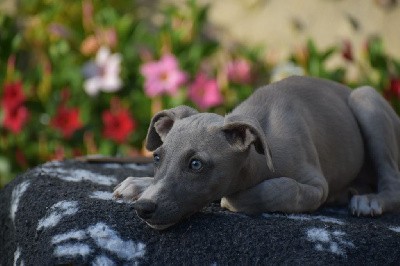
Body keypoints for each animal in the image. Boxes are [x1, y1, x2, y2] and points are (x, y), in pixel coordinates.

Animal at [112, 76, 400, 230]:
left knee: (393, 184)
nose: (144, 208)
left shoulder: (317, 186)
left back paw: (369, 201)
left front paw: (231, 201)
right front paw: (138, 183)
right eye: (157, 157)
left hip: (366, 100)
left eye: (196, 164)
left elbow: (281, 187)